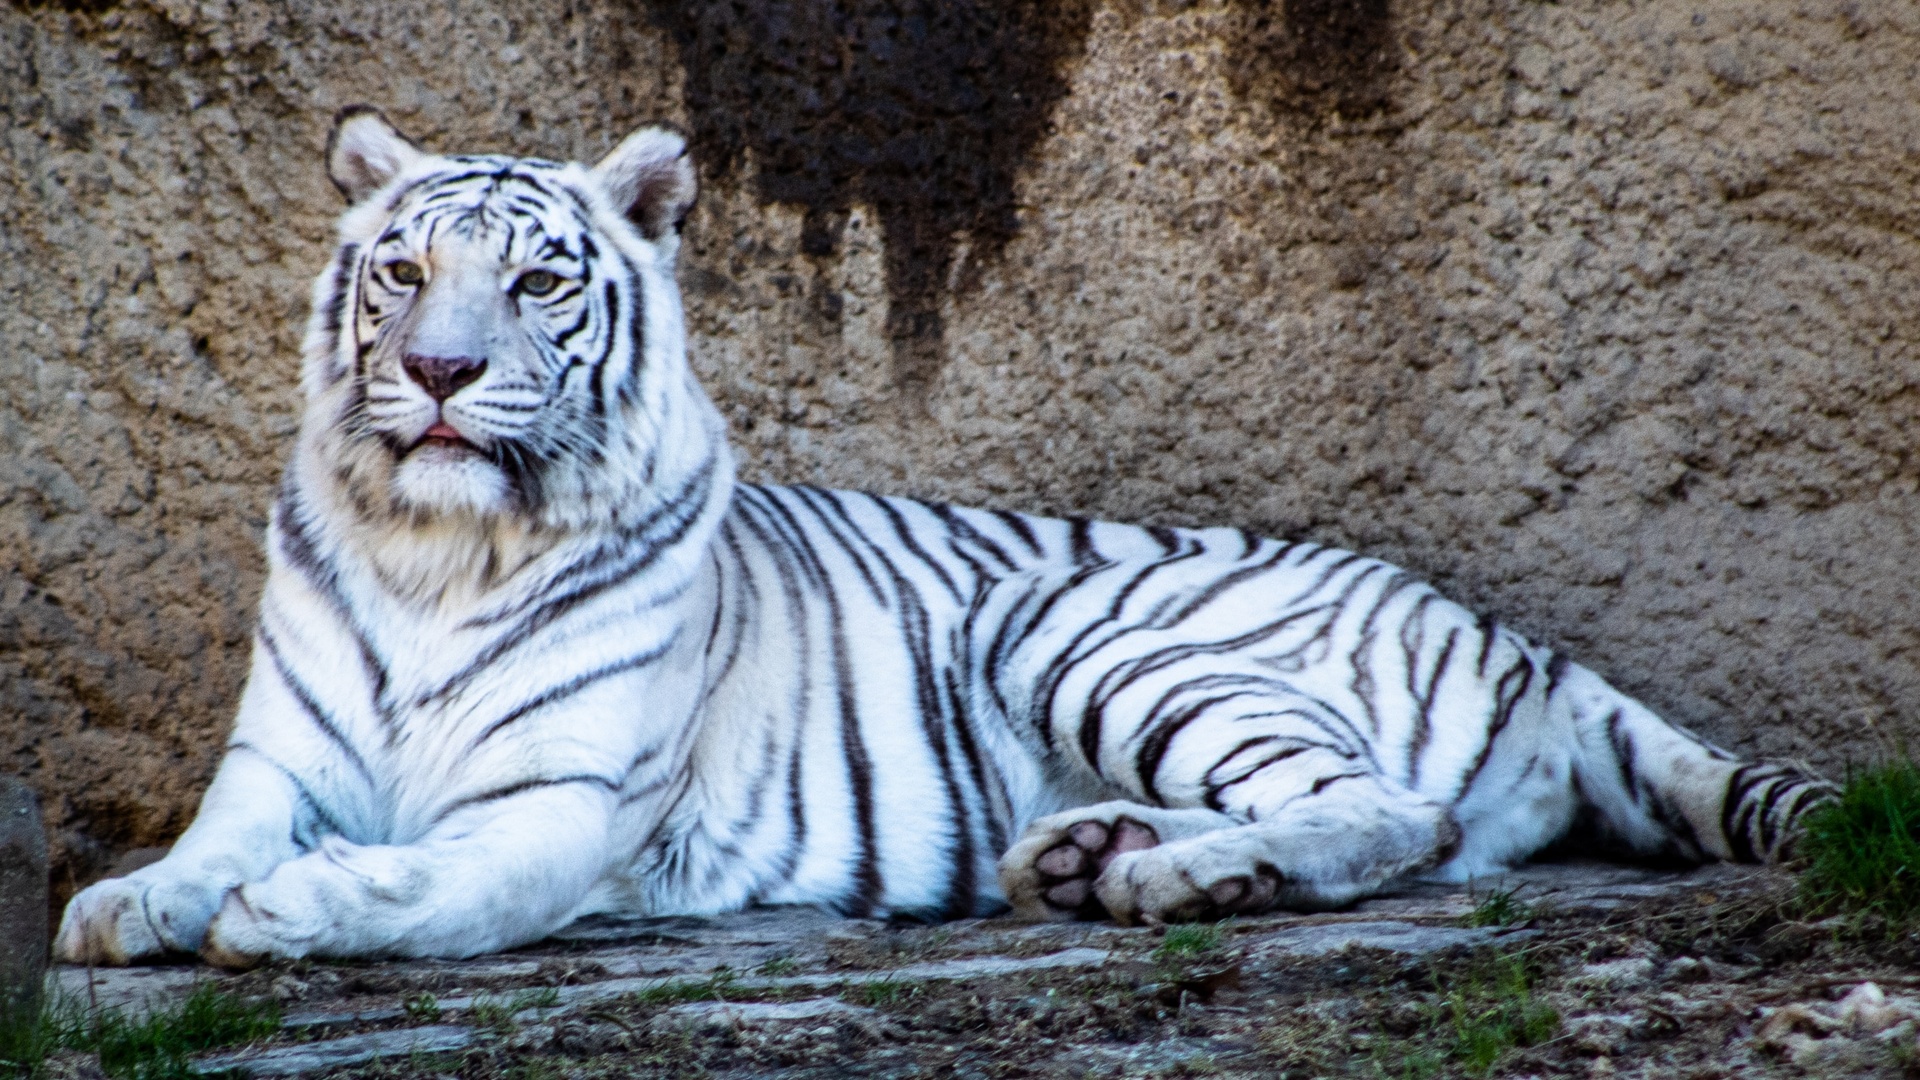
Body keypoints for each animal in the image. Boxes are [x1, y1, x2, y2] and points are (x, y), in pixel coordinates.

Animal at [56, 109, 1827, 960]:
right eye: (405, 271)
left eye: (542, 280)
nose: (436, 373)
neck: (438, 550)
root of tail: (1518, 640)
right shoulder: (277, 762)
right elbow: (210, 840)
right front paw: (130, 907)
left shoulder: (560, 802)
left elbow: (440, 888)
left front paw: (292, 914)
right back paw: (1094, 856)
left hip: (1078, 626)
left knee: (1393, 815)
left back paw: (1182, 880)